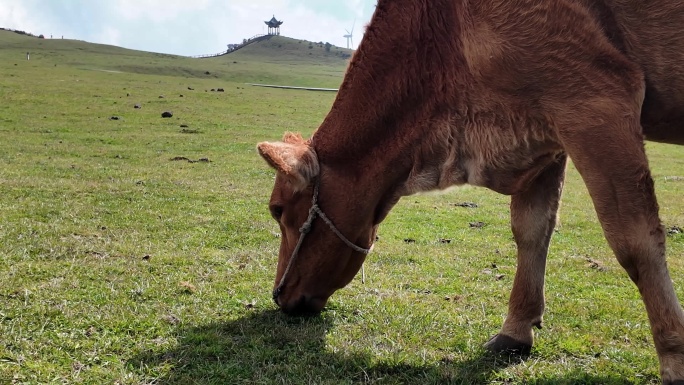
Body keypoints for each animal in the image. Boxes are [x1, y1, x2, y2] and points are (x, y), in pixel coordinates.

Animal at [255, 0, 684, 380]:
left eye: (278, 209)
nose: (278, 294)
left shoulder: (594, 99)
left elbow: (636, 243)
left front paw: (674, 357)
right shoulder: (543, 131)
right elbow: (531, 230)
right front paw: (516, 330)